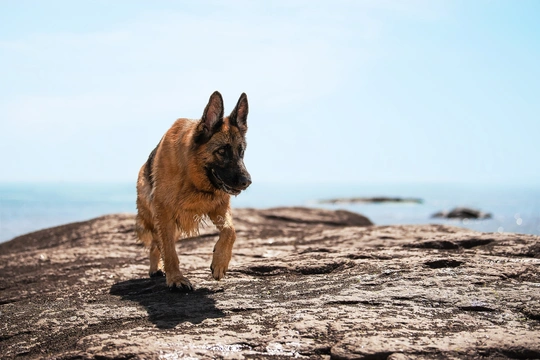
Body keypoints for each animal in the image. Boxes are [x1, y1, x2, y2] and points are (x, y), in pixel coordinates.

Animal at [136, 91, 252, 292]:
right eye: (222, 151)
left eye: (241, 151)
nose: (247, 182)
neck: (191, 174)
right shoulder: (164, 213)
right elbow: (169, 251)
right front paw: (176, 278)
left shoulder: (219, 207)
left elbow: (230, 230)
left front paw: (220, 262)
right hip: (158, 218)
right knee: (157, 242)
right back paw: (155, 268)